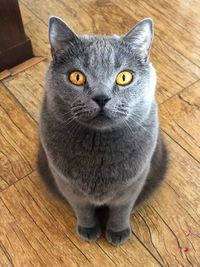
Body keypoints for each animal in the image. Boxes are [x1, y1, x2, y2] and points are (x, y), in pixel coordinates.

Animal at [37, 16, 167, 247]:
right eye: (76, 77)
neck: (98, 148)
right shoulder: (67, 184)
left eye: (124, 77)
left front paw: (118, 232)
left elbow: (121, 211)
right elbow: (82, 209)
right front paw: (88, 230)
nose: (101, 97)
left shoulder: (132, 184)